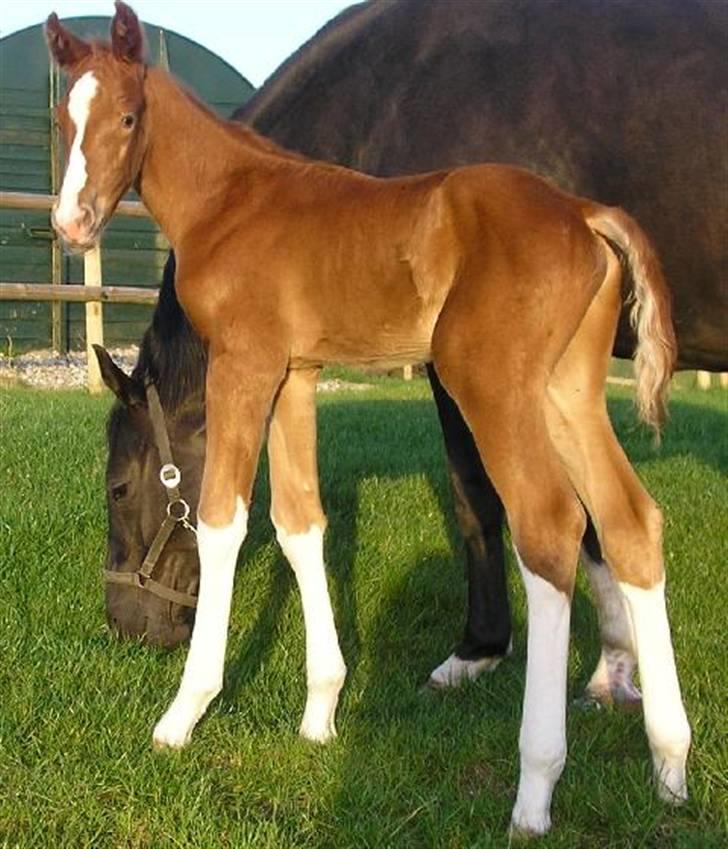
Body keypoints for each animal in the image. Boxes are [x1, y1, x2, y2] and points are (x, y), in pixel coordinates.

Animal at [48, 1, 692, 836]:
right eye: (64, 120)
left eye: (128, 117)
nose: (72, 222)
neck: (232, 200)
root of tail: (583, 214)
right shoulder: (295, 373)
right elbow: (300, 523)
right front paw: (321, 712)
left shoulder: (244, 365)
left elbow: (224, 521)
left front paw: (182, 715)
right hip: (568, 391)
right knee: (629, 523)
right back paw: (671, 763)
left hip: (491, 385)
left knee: (550, 530)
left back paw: (535, 788)